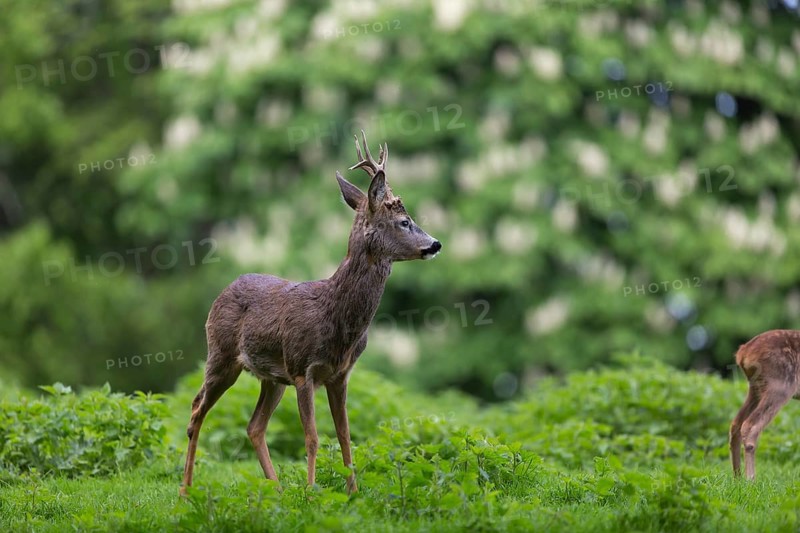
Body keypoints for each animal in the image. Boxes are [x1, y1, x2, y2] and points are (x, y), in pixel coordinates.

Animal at [180, 132, 442, 496]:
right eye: (404, 221)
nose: (435, 244)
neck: (337, 316)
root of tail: (221, 293)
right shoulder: (304, 370)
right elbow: (313, 437)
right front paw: (311, 491)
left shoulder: (340, 374)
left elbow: (345, 435)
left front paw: (352, 492)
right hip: (221, 355)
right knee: (196, 410)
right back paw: (186, 489)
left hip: (271, 377)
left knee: (254, 425)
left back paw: (276, 489)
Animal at [730, 329, 800, 480]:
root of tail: (743, 353)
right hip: (781, 385)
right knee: (750, 425)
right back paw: (750, 479)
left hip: (756, 388)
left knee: (735, 424)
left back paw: (737, 477)